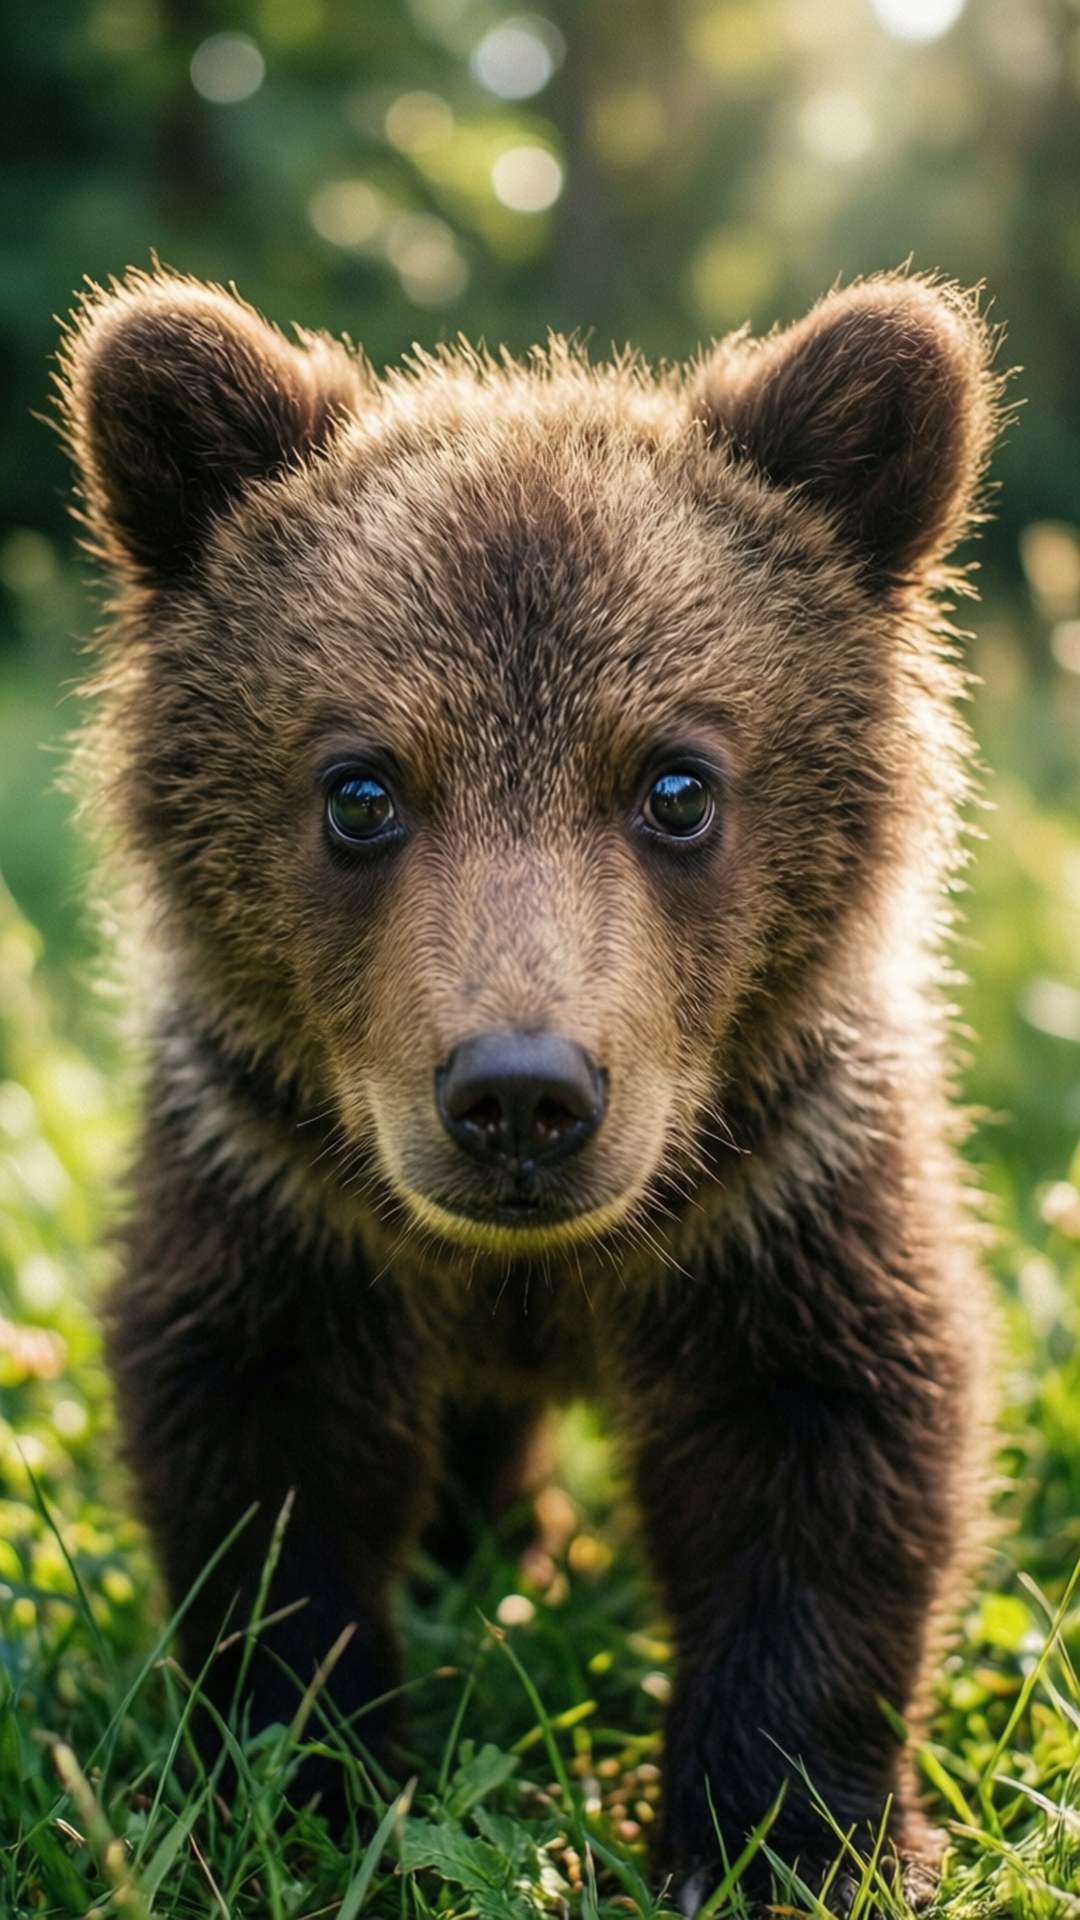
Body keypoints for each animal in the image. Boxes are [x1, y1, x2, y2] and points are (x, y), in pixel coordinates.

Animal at [57, 266, 1000, 1912]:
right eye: (361, 787)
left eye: (677, 784)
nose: (519, 1097)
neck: (532, 1270)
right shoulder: (280, 1193)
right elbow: (263, 1471)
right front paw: (298, 1785)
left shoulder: (781, 1187)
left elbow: (830, 1455)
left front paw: (778, 1837)